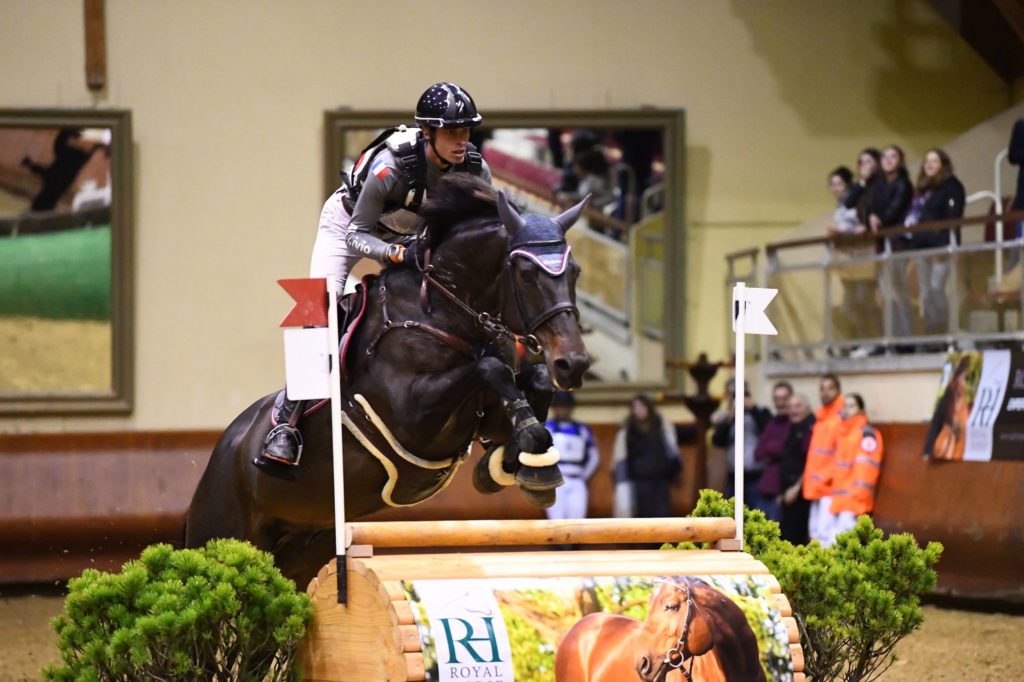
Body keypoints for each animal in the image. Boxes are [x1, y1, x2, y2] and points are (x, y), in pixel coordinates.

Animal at [180, 175, 589, 585]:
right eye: (527, 275)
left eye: (575, 272)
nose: (573, 363)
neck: (443, 310)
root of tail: (221, 453)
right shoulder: (413, 415)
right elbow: (489, 368)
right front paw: (533, 456)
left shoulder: (486, 417)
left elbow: (532, 381)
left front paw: (525, 461)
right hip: (225, 531)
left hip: (304, 548)